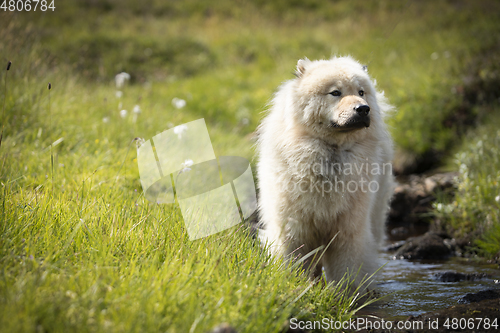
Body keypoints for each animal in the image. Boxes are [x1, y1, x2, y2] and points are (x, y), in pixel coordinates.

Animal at [258, 56, 394, 286]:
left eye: (361, 92)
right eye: (335, 92)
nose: (363, 109)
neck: (331, 153)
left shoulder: (348, 230)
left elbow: (348, 269)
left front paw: (348, 291)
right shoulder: (295, 229)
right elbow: (293, 261)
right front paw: (293, 285)